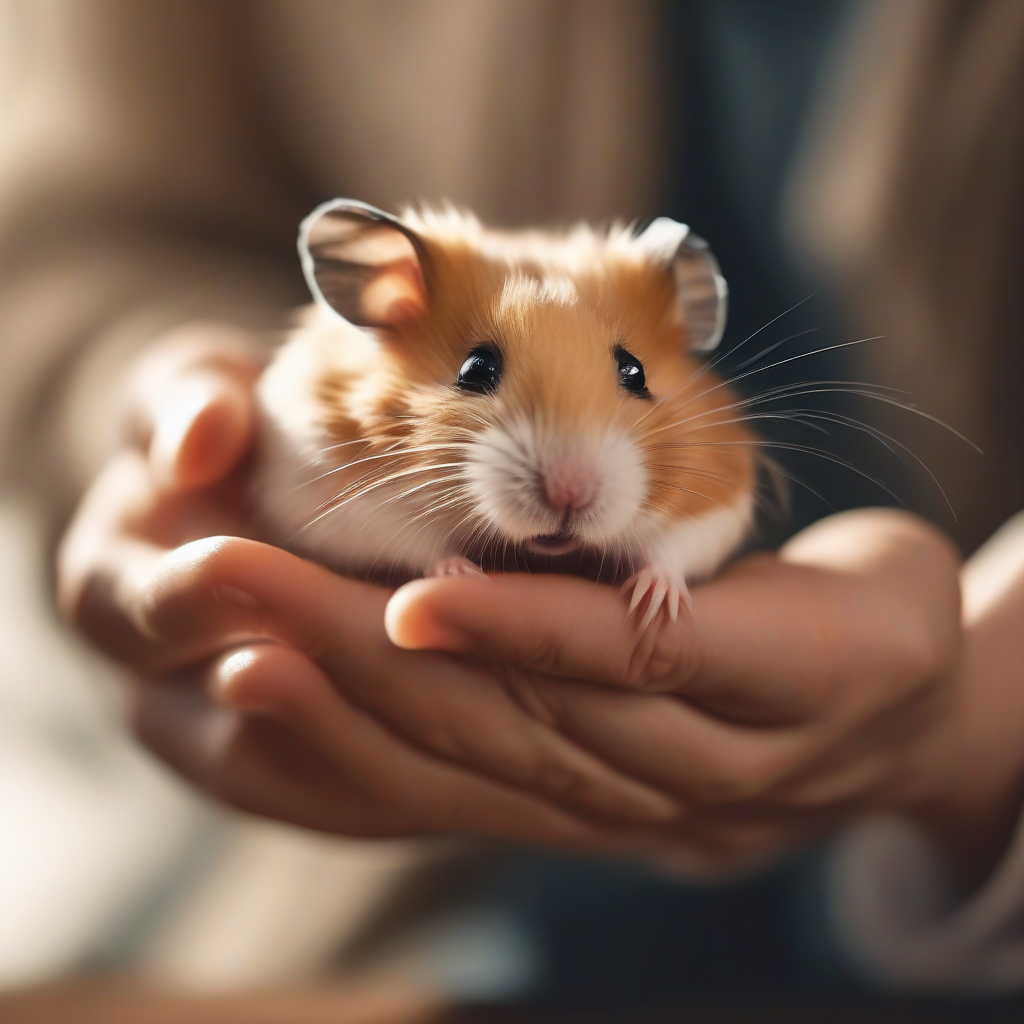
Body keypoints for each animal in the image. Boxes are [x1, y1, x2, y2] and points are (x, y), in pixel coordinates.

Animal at [252, 199, 756, 627]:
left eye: (636, 372)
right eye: (475, 369)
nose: (569, 493)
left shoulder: (715, 500)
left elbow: (672, 552)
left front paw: (654, 606)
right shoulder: (341, 498)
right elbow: (413, 545)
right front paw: (461, 574)